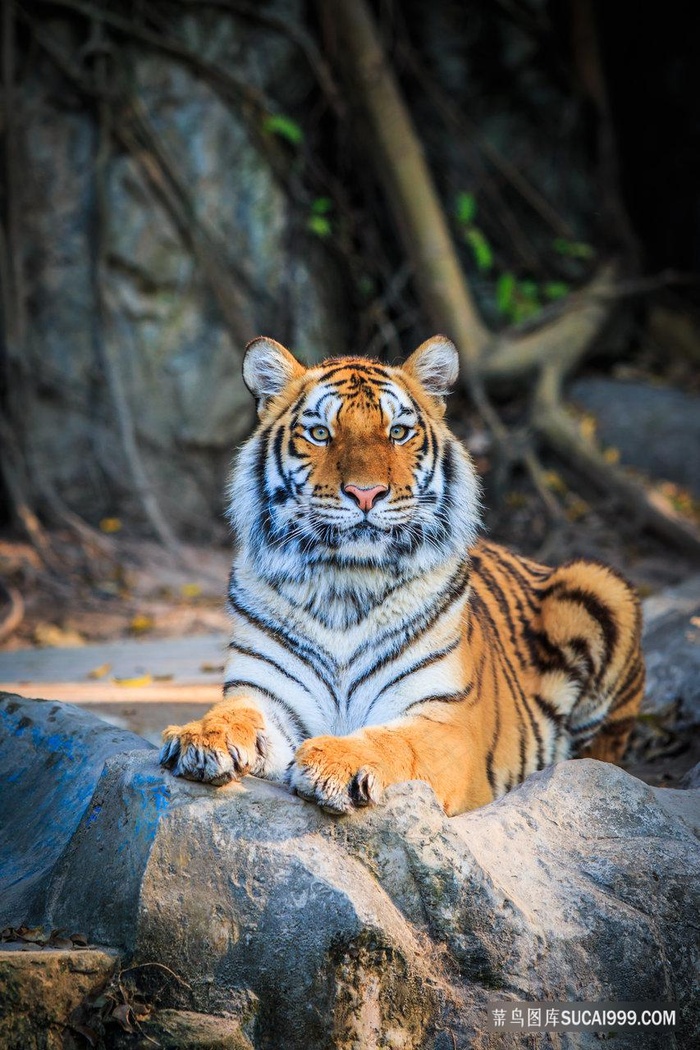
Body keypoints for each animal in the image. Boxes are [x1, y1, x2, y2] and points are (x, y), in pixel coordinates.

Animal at [160, 335, 644, 816]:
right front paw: (200, 736)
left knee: (604, 754)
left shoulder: (447, 720)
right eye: (320, 433)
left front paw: (336, 760)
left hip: (599, 586)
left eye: (397, 432)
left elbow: (395, 742)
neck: (346, 584)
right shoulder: (265, 692)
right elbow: (232, 712)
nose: (365, 494)